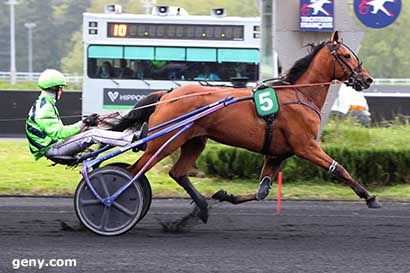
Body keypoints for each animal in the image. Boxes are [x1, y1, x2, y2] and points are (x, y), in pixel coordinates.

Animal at [111, 31, 378, 223]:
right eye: (346, 56)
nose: (367, 79)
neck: (300, 95)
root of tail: (167, 94)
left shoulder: (277, 154)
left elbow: (262, 191)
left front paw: (224, 195)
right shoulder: (306, 146)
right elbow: (339, 168)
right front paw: (370, 197)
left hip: (194, 141)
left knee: (177, 173)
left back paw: (201, 209)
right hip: (164, 142)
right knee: (134, 172)